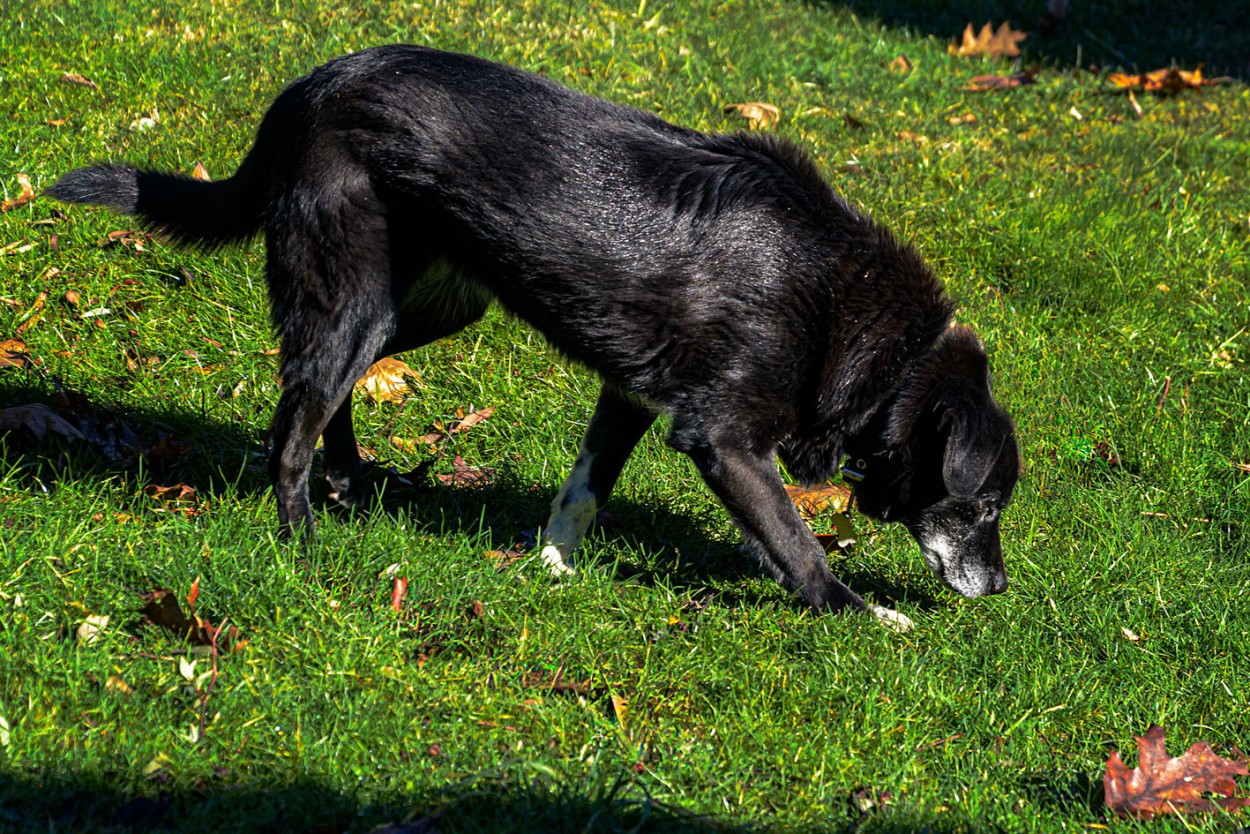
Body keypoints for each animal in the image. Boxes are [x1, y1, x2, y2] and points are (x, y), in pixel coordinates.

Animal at [53, 42, 1020, 622]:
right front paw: (859, 611)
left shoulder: (629, 394)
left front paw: (550, 566)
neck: (880, 348)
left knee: (320, 389)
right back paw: (303, 544)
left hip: (427, 306)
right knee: (288, 425)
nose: (1002, 584)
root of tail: (313, 85)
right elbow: (794, 539)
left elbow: (584, 489)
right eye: (984, 506)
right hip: (354, 296)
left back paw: (350, 481)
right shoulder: (723, 438)